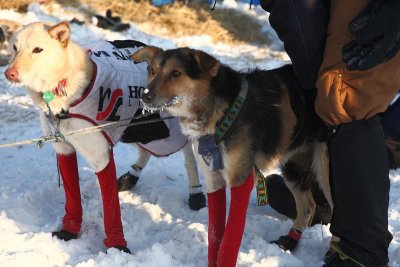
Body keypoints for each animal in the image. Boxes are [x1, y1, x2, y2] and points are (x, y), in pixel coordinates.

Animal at [1, 21, 205, 253]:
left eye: (37, 49)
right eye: (14, 47)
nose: (9, 73)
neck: (64, 90)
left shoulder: (101, 157)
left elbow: (110, 208)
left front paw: (117, 245)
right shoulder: (65, 150)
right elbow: (72, 197)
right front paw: (70, 230)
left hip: (166, 131)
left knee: (188, 155)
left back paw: (196, 192)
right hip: (141, 131)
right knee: (145, 151)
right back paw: (132, 176)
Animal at [131, 46, 332, 267]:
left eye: (176, 73)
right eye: (153, 71)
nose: (145, 95)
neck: (217, 116)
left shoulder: (240, 180)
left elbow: (229, 239)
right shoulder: (213, 181)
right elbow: (215, 235)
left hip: (325, 173)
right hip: (293, 169)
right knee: (308, 206)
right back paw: (290, 241)